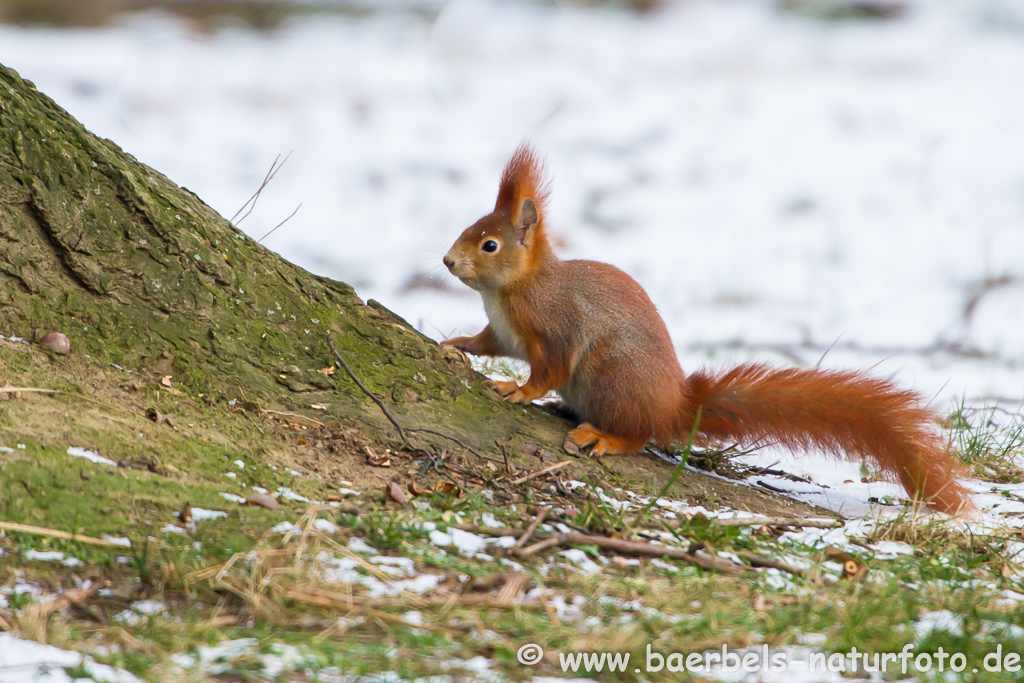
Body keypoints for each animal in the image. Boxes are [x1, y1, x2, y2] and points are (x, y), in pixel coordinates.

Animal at [440, 147, 966, 516]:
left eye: (489, 244)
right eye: (470, 228)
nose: (446, 261)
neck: (512, 290)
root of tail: (675, 404)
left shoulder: (556, 327)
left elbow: (547, 369)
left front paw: (518, 390)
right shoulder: (504, 332)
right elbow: (487, 342)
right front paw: (457, 344)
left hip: (612, 375)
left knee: (639, 436)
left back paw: (603, 437)